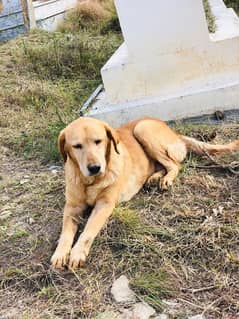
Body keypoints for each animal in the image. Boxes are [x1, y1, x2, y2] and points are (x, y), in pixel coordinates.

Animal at [51, 117, 239, 270]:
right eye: (77, 146)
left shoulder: (105, 204)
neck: (90, 182)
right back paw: (154, 178)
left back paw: (165, 179)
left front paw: (77, 253)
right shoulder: (72, 207)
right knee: (163, 165)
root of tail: (176, 134)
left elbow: (88, 230)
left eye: (98, 141)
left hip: (142, 129)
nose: (95, 167)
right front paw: (60, 253)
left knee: (174, 164)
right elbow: (66, 232)